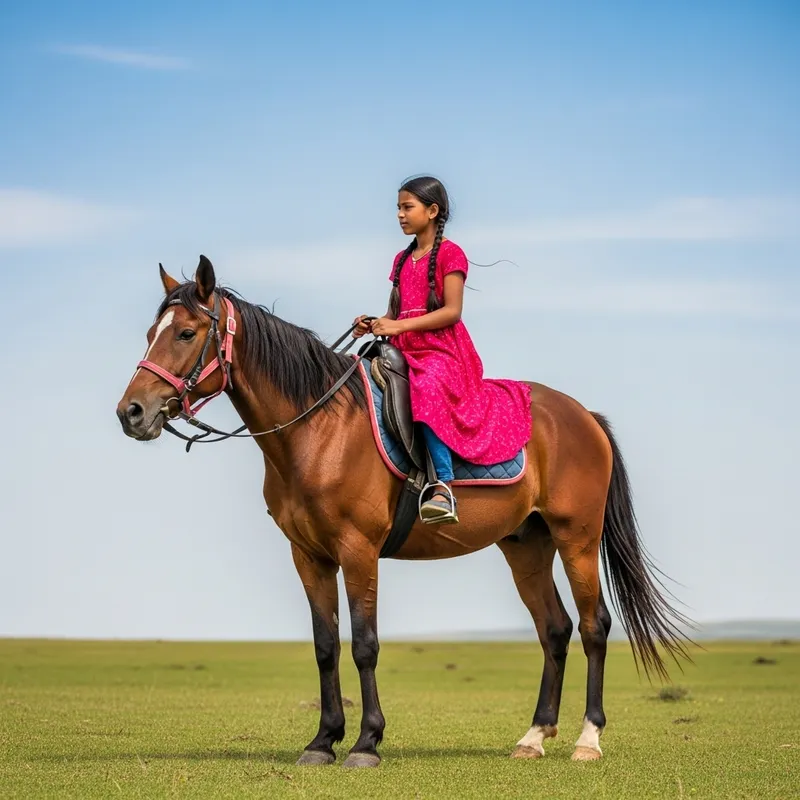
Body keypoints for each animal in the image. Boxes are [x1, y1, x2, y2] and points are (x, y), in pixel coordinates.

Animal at [116, 255, 691, 768]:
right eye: (149, 332)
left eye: (186, 333)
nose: (131, 412)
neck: (318, 430)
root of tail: (583, 416)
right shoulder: (309, 556)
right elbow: (326, 646)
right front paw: (322, 741)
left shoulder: (358, 550)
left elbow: (364, 644)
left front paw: (366, 743)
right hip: (527, 545)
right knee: (555, 629)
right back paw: (533, 736)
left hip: (577, 539)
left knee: (594, 626)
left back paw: (587, 740)